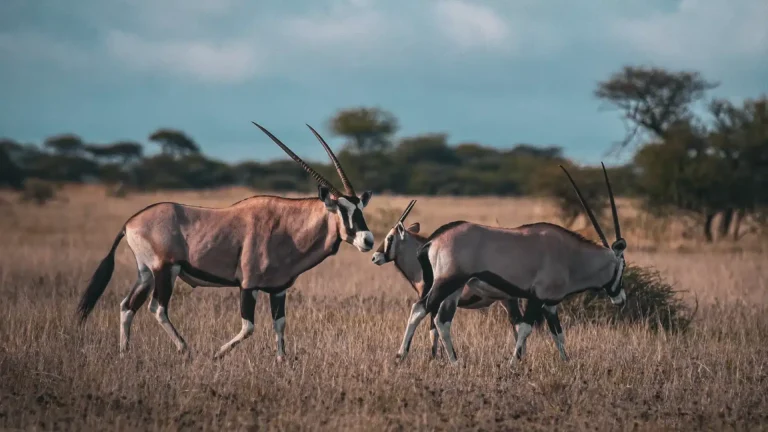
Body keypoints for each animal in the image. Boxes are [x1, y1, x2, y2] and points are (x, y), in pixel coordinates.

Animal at [76, 123, 375, 361]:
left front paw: (282, 361)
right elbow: (249, 327)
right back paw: (185, 349)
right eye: (342, 210)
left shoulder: (278, 289)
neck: (287, 226)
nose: (368, 240)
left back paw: (124, 352)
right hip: (165, 270)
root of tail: (129, 223)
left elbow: (280, 325)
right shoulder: (248, 285)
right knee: (157, 308)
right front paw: (217, 354)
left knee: (128, 306)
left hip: (146, 273)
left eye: (360, 208)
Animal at [371, 200, 525, 358]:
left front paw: (434, 357)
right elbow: (434, 331)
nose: (375, 257)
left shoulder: (434, 302)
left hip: (509, 300)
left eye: (390, 238)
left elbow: (433, 331)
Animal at [395, 163, 626, 364]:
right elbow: (525, 328)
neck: (572, 256)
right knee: (421, 310)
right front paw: (513, 363)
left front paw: (566, 362)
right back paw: (409, 356)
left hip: (452, 287)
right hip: (447, 283)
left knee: (439, 318)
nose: (621, 299)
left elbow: (558, 334)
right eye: (622, 267)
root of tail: (433, 240)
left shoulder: (550, 304)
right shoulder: (537, 298)